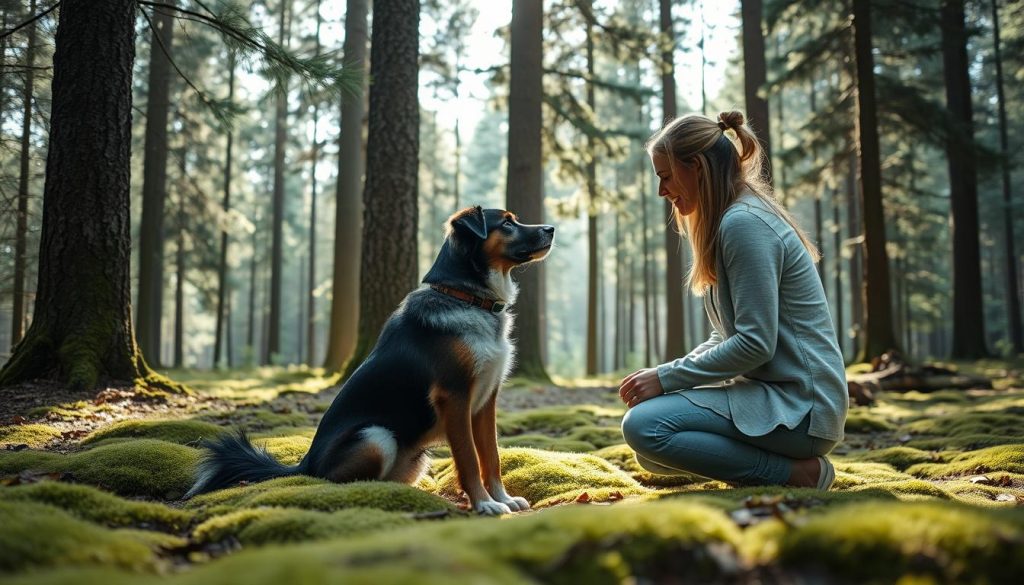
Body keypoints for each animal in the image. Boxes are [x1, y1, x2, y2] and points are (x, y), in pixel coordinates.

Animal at [184, 203, 552, 514]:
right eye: (507, 223)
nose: (551, 228)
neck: (468, 299)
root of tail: (304, 464)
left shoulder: (485, 401)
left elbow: (492, 455)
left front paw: (502, 497)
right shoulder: (456, 397)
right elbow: (469, 459)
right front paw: (484, 504)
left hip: (413, 454)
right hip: (376, 437)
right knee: (339, 481)